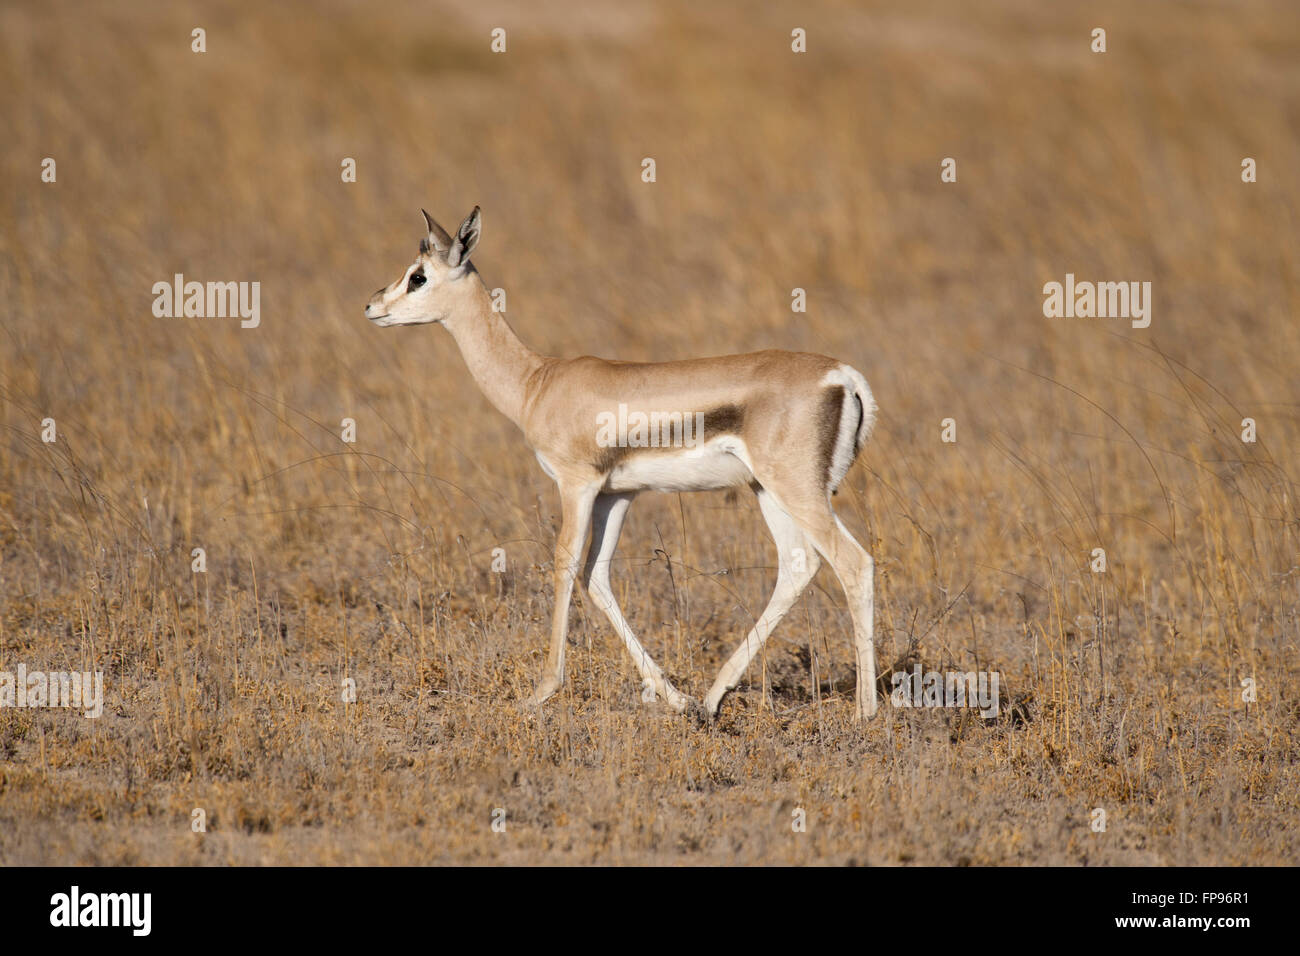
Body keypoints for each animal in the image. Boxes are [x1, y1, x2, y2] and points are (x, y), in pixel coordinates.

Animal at [365, 207, 880, 720]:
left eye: (418, 275)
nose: (372, 306)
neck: (537, 381)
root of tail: (843, 376)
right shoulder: (615, 494)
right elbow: (596, 577)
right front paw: (675, 696)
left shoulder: (577, 485)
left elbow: (565, 563)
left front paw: (542, 691)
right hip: (768, 490)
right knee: (798, 566)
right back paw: (712, 697)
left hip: (795, 490)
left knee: (853, 562)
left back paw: (865, 711)